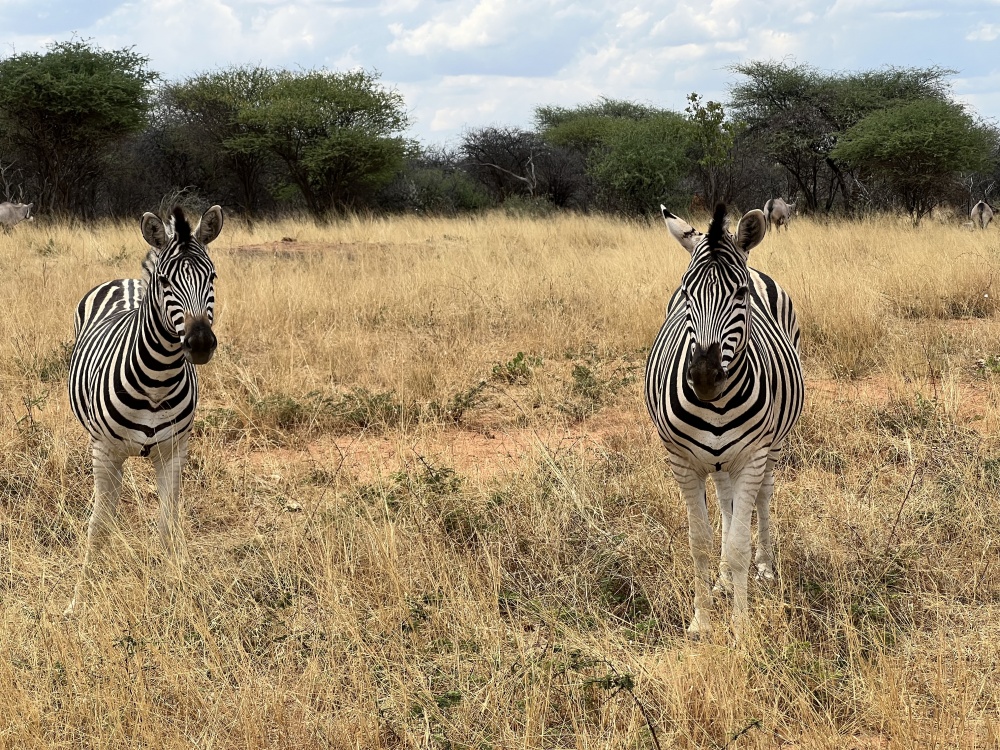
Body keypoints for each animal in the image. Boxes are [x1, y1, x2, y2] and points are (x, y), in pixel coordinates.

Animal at [66, 205, 223, 612]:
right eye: (166, 282)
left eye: (212, 276)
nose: (200, 343)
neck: (157, 381)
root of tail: (125, 281)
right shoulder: (104, 452)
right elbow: (98, 527)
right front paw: (79, 599)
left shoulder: (174, 452)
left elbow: (167, 524)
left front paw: (169, 590)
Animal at [645, 203, 804, 638]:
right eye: (685, 292)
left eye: (741, 294)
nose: (703, 378)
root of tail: (757, 267)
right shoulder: (682, 462)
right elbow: (700, 542)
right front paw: (701, 621)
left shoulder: (752, 457)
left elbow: (738, 546)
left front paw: (742, 627)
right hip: (717, 461)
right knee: (725, 501)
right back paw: (720, 579)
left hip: (773, 446)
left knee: (763, 497)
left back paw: (764, 566)